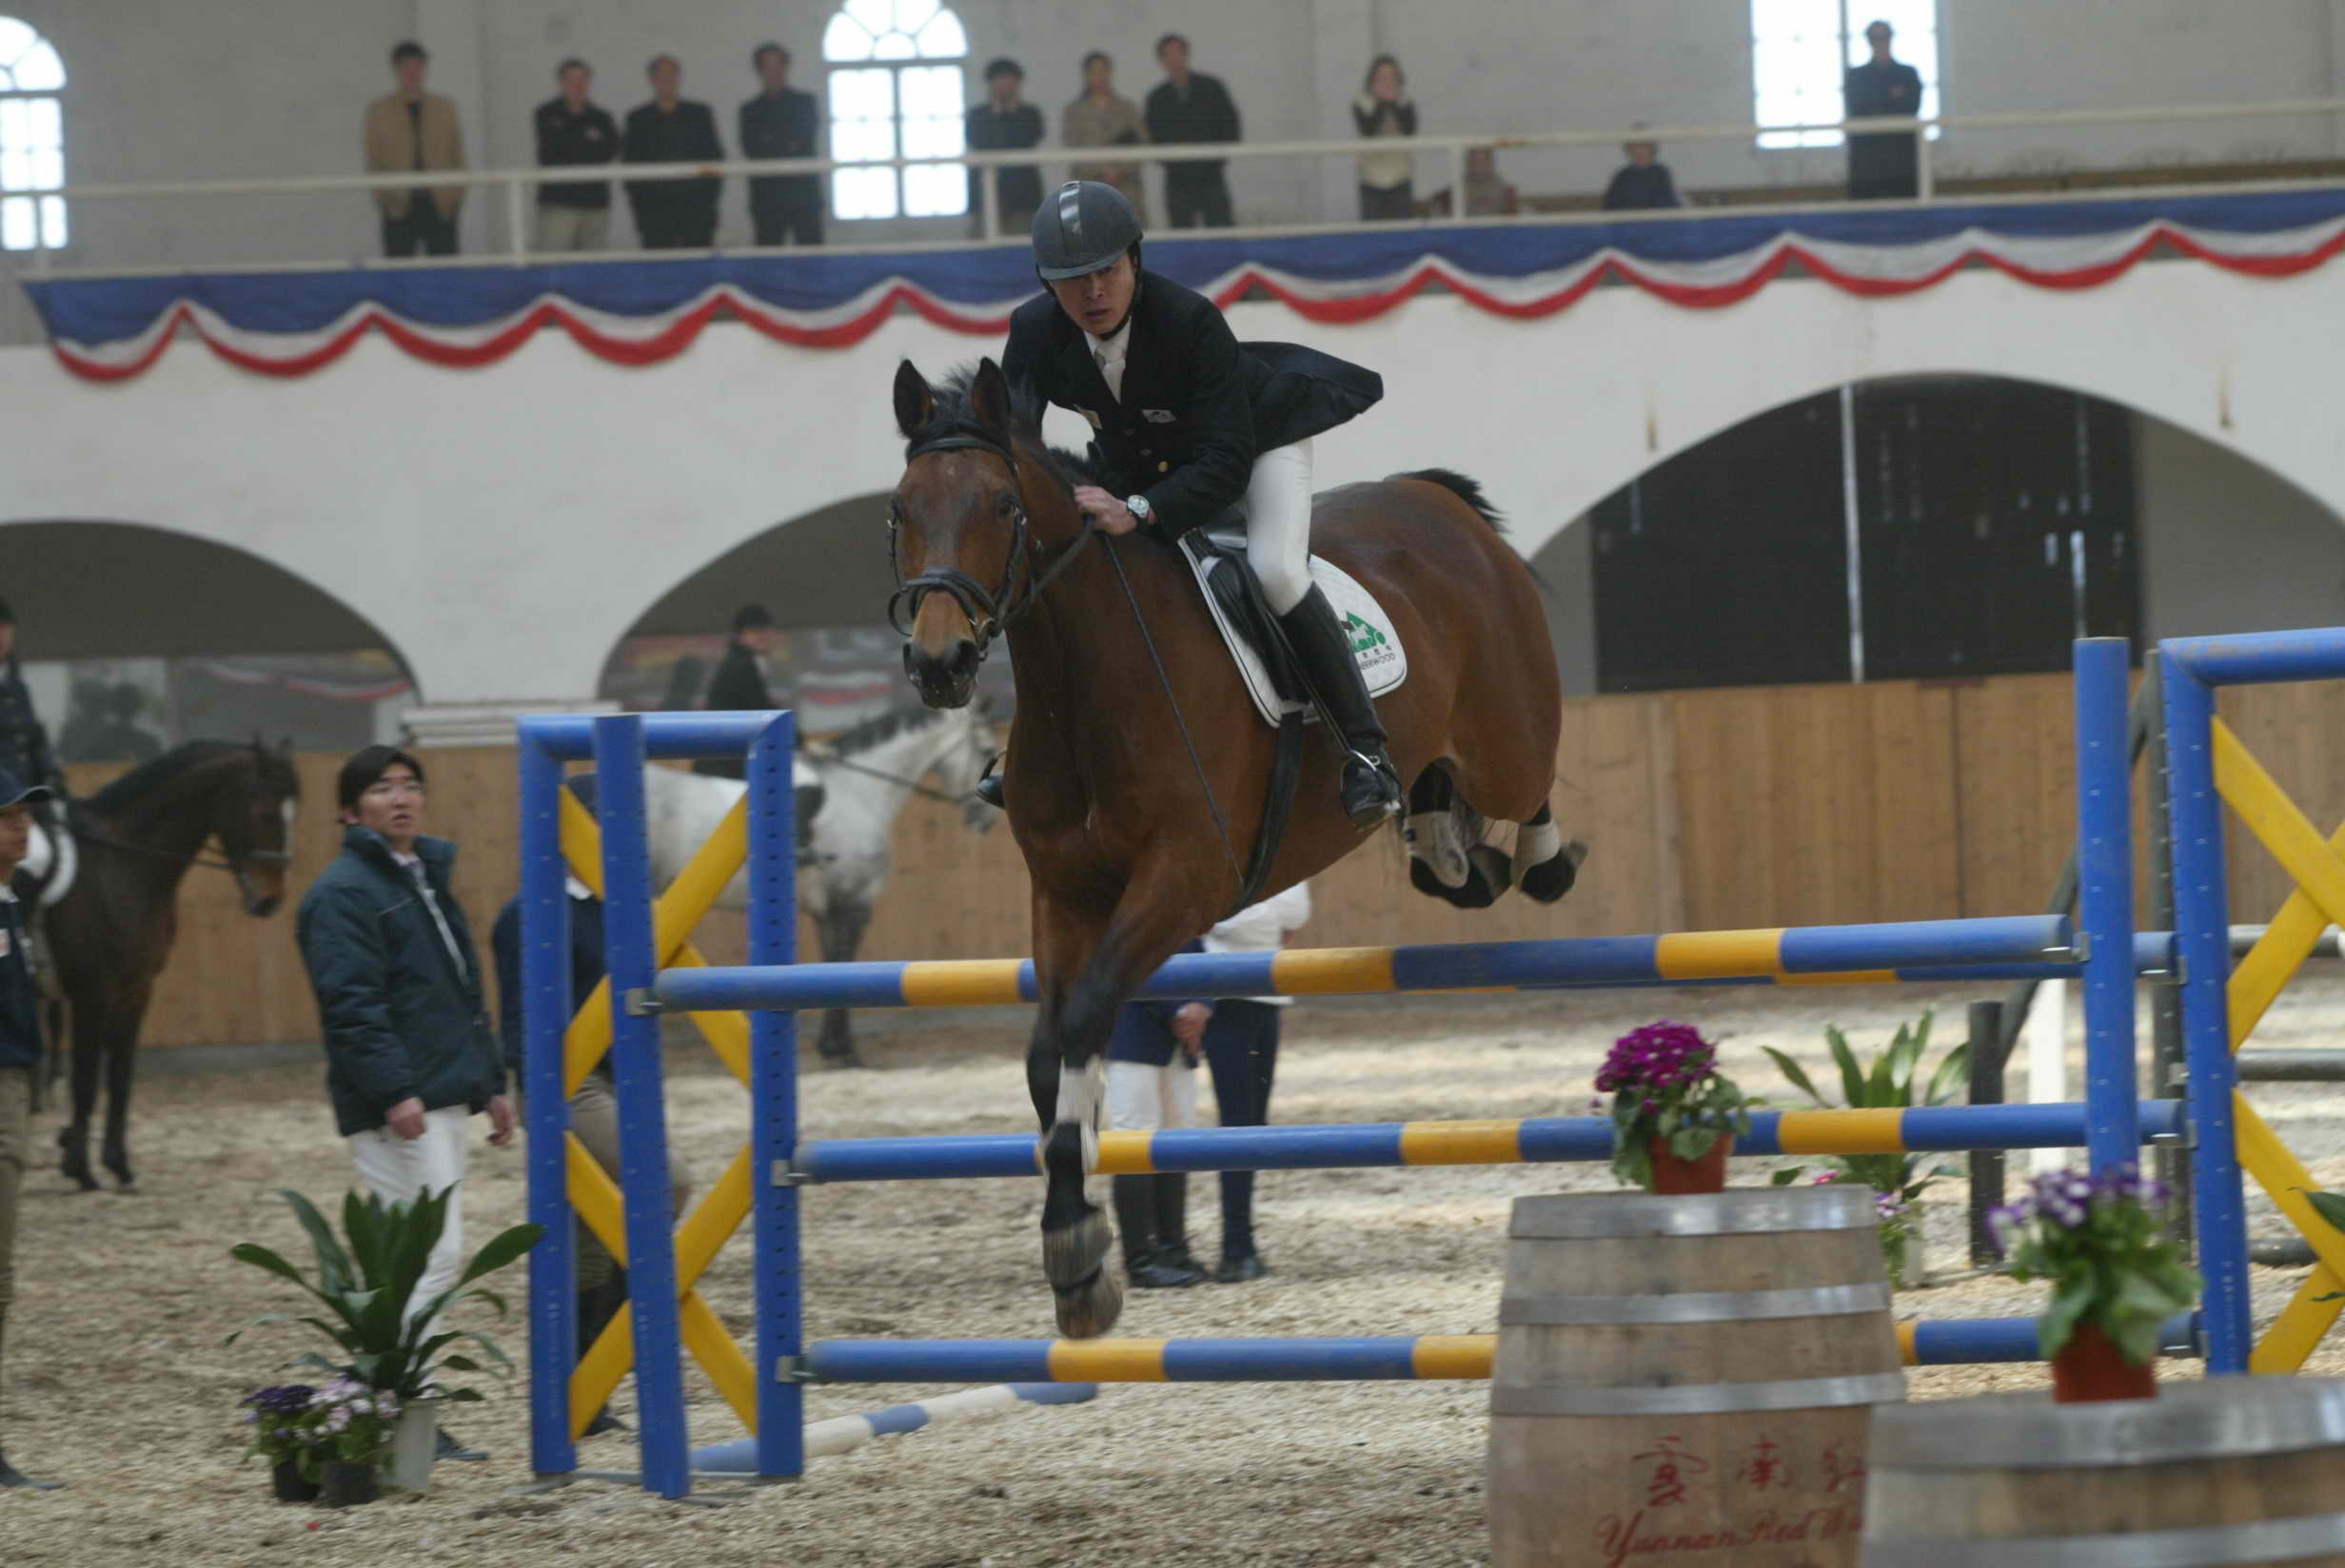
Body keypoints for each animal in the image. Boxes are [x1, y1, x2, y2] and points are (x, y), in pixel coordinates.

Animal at [49, 735, 300, 1186]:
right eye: (266, 814)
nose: (270, 901)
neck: (120, 868)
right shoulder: (90, 992)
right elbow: (84, 1078)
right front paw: (80, 1169)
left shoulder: (136, 989)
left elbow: (121, 1076)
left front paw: (118, 1164)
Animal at [642, 707, 998, 1064]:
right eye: (986, 750)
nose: (986, 821)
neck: (860, 793)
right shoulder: (852, 901)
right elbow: (843, 962)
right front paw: (841, 1049)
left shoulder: (827, 910)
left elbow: (829, 963)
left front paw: (831, 1045)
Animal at [886, 361, 1585, 1341]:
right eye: (901, 509)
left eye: (1001, 505)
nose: (940, 663)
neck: (1088, 682)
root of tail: (1439, 503)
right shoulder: (1063, 893)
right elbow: (1047, 1053)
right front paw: (1078, 1255)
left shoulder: (1187, 881)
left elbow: (1087, 1016)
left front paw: (1078, 1247)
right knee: (1449, 829)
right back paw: (1444, 845)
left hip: (1507, 740)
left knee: (1529, 799)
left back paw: (1530, 858)